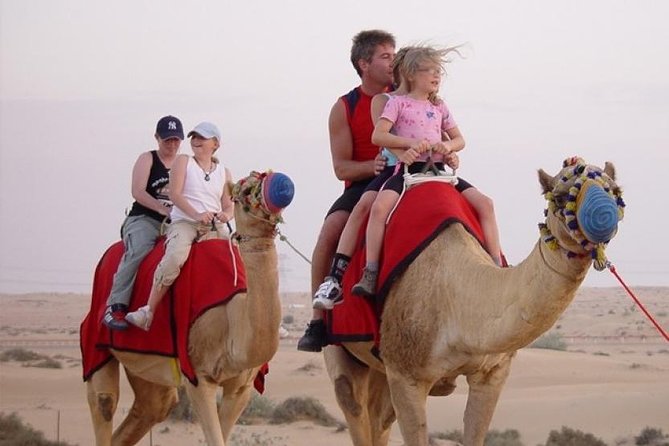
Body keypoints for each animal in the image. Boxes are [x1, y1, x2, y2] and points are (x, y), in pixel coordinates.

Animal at [85, 171, 294, 446]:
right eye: (244, 191)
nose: (282, 186)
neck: (233, 318)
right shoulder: (198, 375)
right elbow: (214, 438)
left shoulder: (242, 387)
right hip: (96, 343)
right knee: (105, 401)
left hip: (149, 368)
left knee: (154, 406)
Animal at [324, 158, 625, 446]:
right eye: (561, 197)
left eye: (614, 190)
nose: (603, 216)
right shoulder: (405, 375)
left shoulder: (492, 373)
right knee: (351, 400)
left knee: (380, 418)